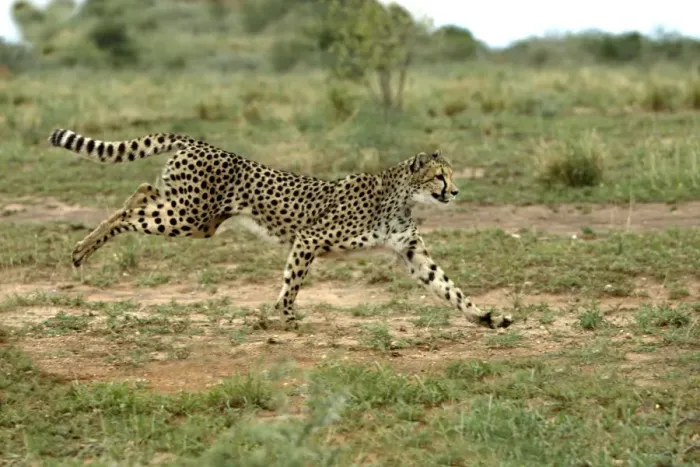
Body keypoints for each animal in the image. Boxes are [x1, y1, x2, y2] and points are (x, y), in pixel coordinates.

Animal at [47, 128, 513, 330]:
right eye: (439, 176)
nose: (456, 190)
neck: (401, 194)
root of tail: (199, 142)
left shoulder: (411, 253)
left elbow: (449, 289)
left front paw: (486, 317)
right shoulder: (310, 238)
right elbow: (292, 281)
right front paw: (286, 315)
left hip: (196, 220)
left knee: (142, 191)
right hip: (188, 216)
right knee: (129, 212)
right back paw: (80, 250)